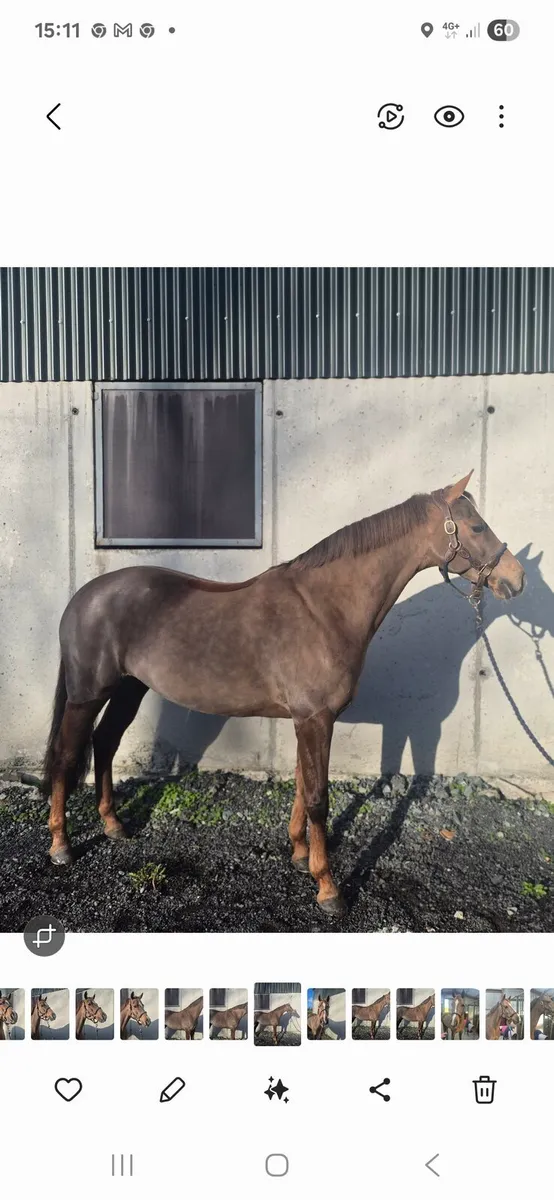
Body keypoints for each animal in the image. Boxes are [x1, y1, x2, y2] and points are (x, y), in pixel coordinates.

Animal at [41, 471, 525, 918]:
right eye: (477, 526)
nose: (516, 579)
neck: (325, 608)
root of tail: (82, 597)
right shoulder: (316, 719)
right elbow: (318, 798)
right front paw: (328, 888)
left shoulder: (305, 719)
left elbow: (300, 783)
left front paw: (298, 855)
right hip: (87, 695)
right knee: (67, 755)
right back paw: (61, 845)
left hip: (130, 688)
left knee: (104, 743)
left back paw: (113, 825)